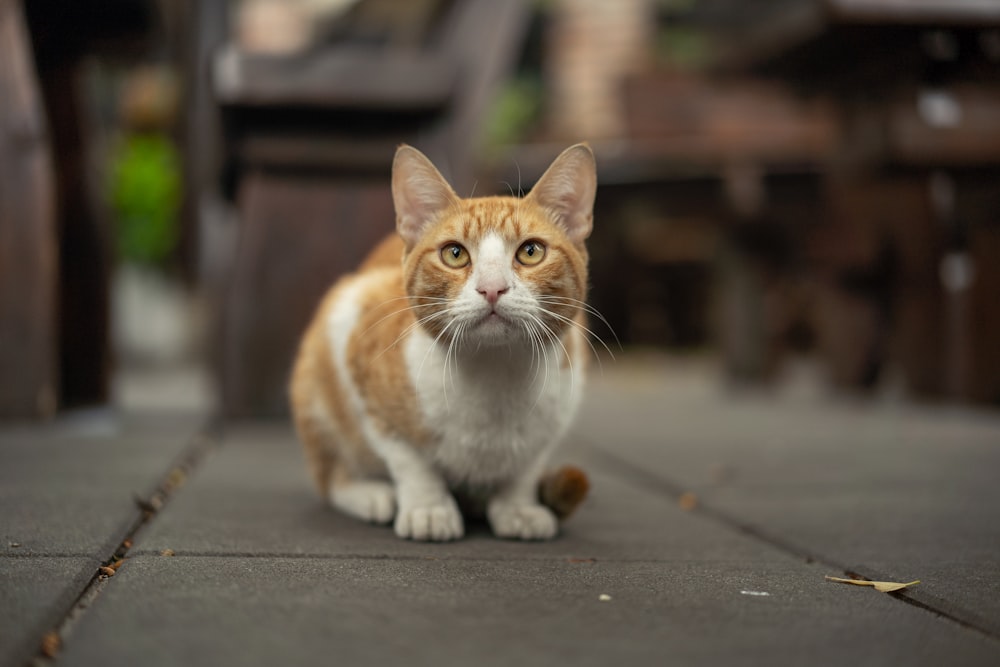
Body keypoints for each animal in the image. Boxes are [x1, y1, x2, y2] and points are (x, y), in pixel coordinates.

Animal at [292, 145, 596, 544]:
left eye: (531, 252)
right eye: (455, 254)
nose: (492, 288)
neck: (493, 374)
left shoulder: (560, 404)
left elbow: (526, 467)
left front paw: (518, 506)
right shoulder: (357, 342)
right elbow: (409, 458)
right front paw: (429, 508)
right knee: (330, 477)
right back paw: (370, 493)